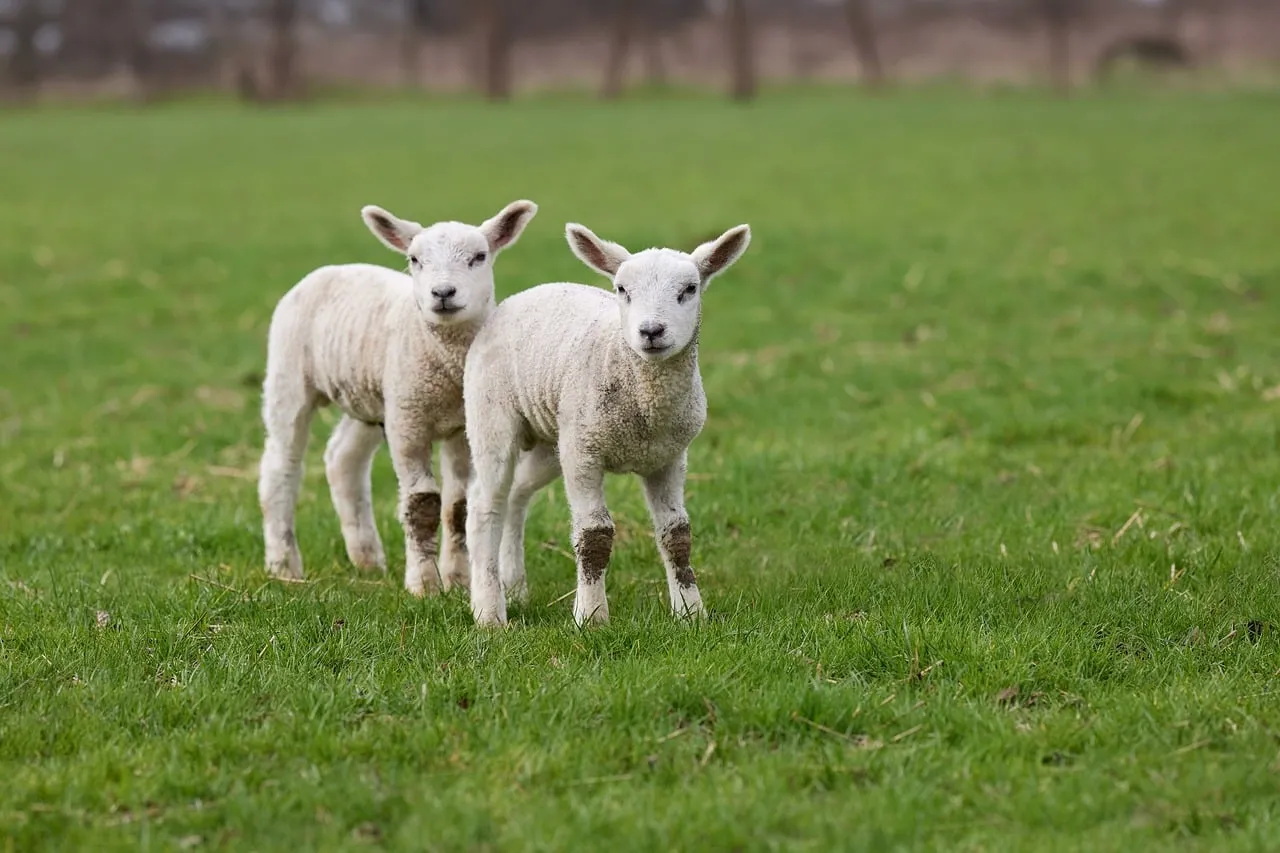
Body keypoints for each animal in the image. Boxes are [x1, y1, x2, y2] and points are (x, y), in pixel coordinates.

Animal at [258, 199, 539, 596]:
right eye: (414, 259)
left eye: (479, 257)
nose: (443, 293)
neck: (446, 364)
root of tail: (331, 269)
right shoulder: (409, 421)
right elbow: (422, 504)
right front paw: (424, 585)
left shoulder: (461, 428)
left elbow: (457, 507)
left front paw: (457, 580)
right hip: (289, 376)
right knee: (280, 466)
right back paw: (283, 564)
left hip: (372, 399)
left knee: (343, 460)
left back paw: (367, 558)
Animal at [463, 221, 752, 626]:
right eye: (622, 289)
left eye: (689, 289)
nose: (651, 331)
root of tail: (519, 297)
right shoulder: (584, 453)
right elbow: (594, 534)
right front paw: (591, 616)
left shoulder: (668, 458)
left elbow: (677, 535)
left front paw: (691, 612)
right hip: (493, 417)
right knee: (485, 505)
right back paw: (489, 609)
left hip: (554, 440)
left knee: (517, 493)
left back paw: (514, 585)